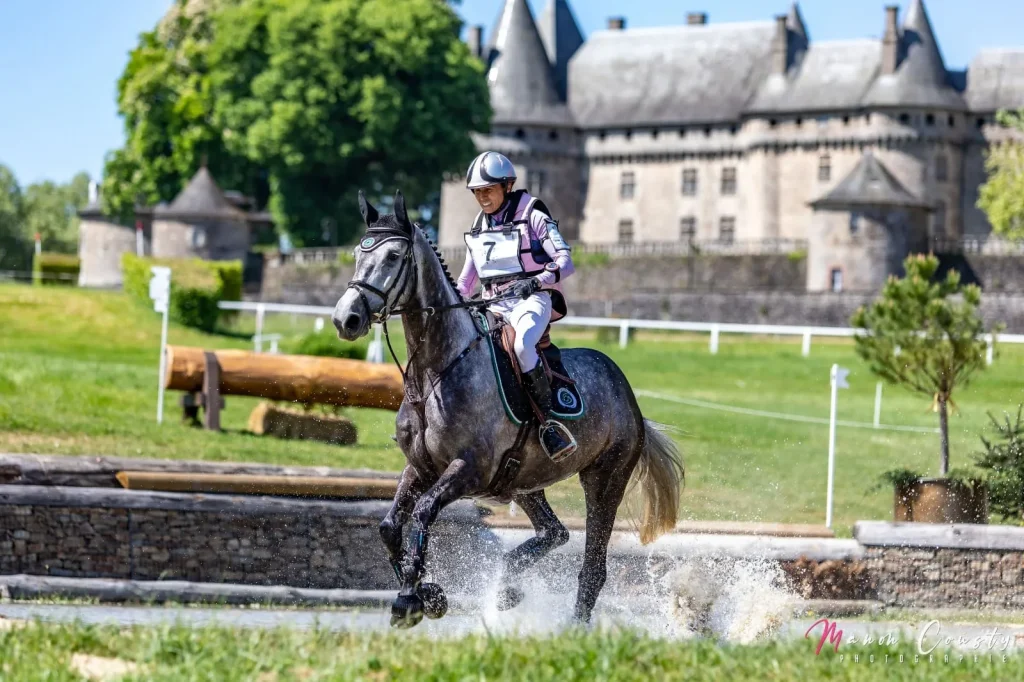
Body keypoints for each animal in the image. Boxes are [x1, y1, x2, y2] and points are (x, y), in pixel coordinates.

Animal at [335, 189, 684, 626]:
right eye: (357, 254)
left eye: (394, 257)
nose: (345, 318)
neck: (435, 374)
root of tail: (627, 394)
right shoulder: (419, 468)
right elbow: (388, 527)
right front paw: (429, 595)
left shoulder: (467, 470)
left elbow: (424, 513)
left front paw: (411, 599)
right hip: (524, 481)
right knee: (555, 532)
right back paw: (507, 586)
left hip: (606, 478)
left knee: (593, 567)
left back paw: (573, 626)